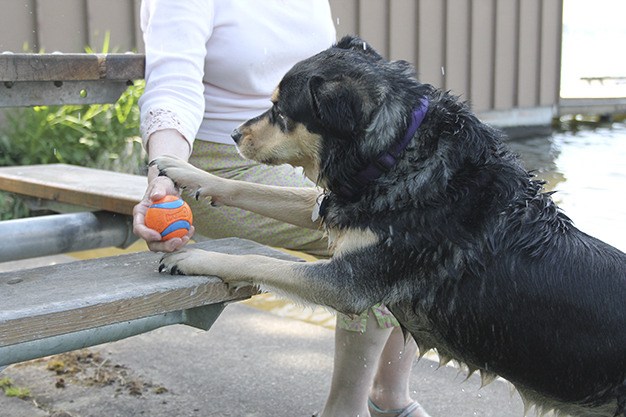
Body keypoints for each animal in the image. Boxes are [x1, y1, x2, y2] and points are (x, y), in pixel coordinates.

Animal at [154, 36, 624, 416]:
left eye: (280, 111)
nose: (234, 134)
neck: (397, 153)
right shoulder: (333, 209)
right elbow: (261, 192)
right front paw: (186, 171)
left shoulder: (346, 283)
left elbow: (260, 262)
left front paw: (195, 257)